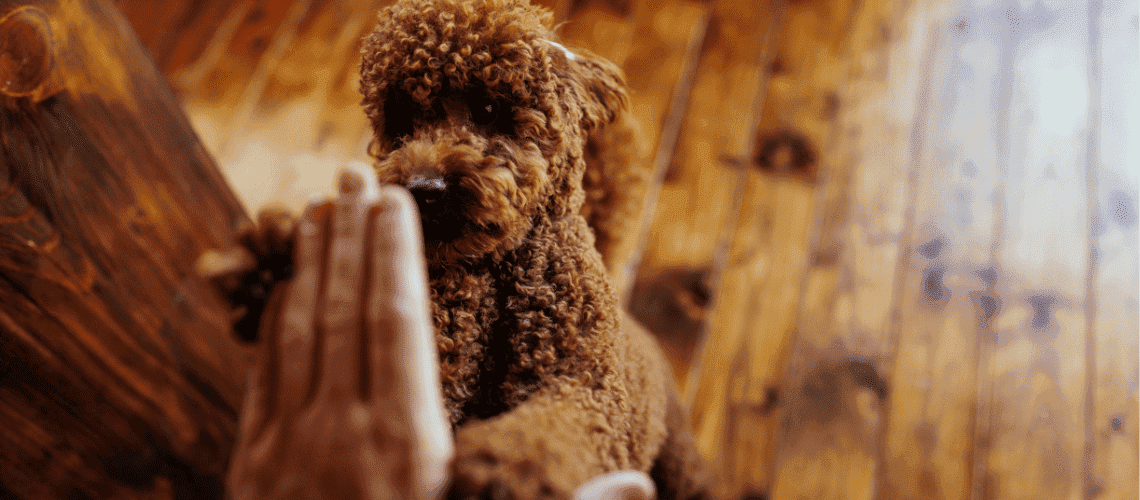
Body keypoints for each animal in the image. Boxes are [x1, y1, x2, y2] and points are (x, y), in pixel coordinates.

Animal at [360, 0, 706, 496]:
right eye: (402, 121)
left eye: (487, 107)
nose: (423, 188)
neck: (499, 270)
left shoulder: (587, 385)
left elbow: (549, 434)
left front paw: (503, 469)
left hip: (678, 457)